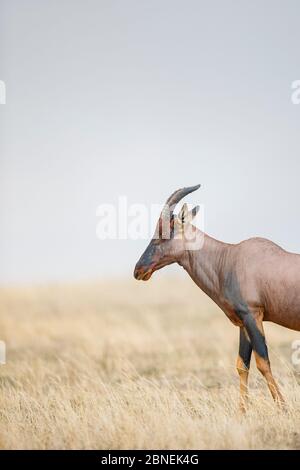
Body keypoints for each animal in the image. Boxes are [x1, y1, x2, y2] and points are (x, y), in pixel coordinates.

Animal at [134, 185, 300, 412]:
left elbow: (263, 362)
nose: (138, 270)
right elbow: (242, 365)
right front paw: (242, 412)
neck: (229, 258)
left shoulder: (253, 315)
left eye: (164, 233)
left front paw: (283, 408)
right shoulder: (243, 322)